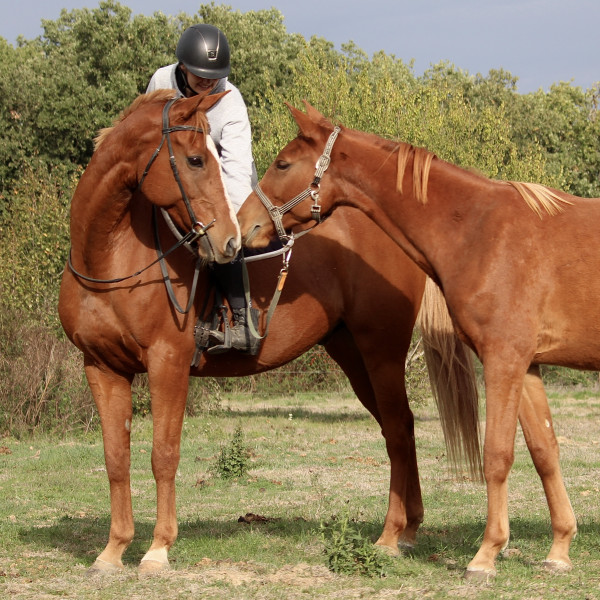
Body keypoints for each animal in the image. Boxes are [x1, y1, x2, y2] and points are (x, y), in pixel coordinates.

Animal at [57, 91, 478, 576]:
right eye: (195, 159)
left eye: (209, 157)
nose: (229, 240)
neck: (111, 258)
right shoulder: (101, 368)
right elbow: (115, 458)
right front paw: (113, 549)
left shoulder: (167, 365)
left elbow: (163, 454)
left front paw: (158, 548)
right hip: (353, 356)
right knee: (402, 429)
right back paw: (409, 527)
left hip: (382, 353)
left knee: (396, 430)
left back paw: (392, 534)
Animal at [237, 102, 584, 580]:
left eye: (283, 163)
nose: (243, 226)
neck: (482, 230)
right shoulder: (526, 364)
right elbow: (544, 450)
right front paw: (560, 549)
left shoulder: (503, 360)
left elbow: (496, 455)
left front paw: (486, 554)